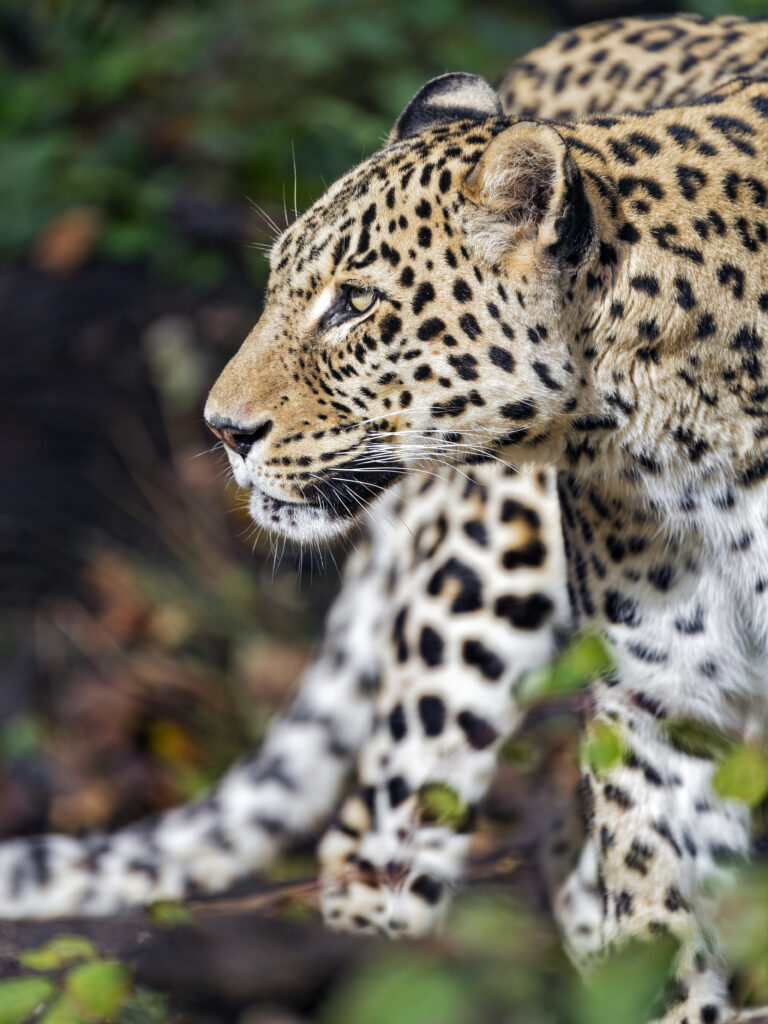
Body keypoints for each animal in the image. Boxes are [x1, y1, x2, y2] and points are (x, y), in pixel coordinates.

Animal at [4, 15, 768, 1024]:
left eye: (355, 303)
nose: (222, 429)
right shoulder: (663, 700)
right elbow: (669, 920)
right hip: (480, 587)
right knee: (381, 842)